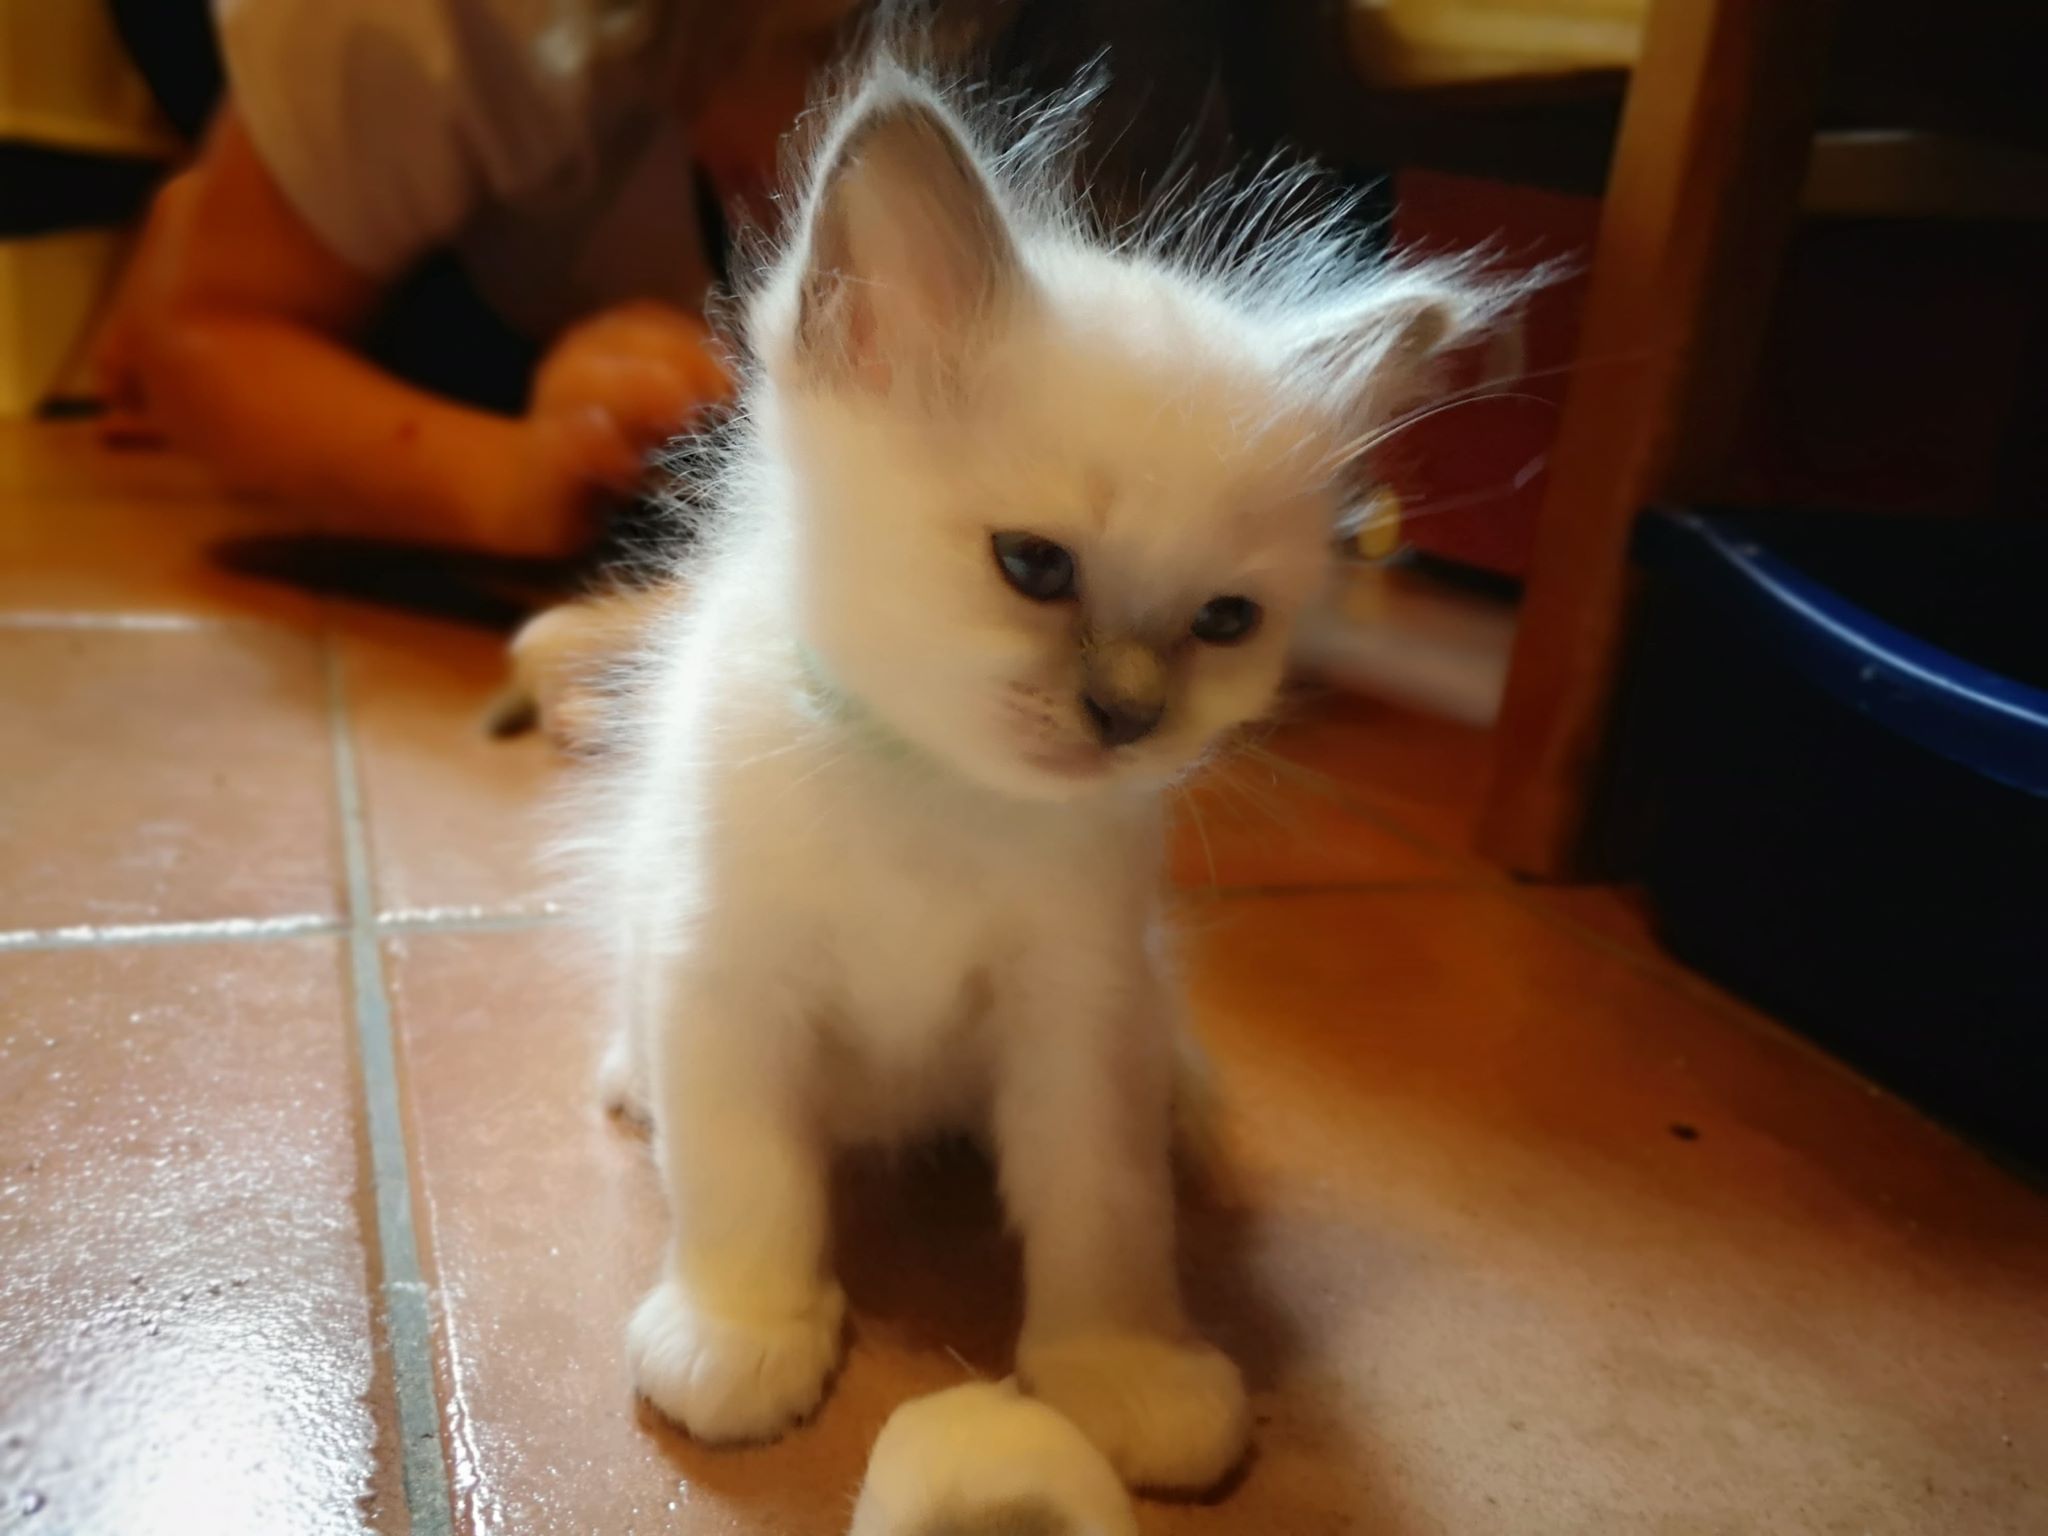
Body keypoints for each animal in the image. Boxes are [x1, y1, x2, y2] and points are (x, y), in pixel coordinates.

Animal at [572, 50, 1507, 1498]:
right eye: (1033, 567)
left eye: (1223, 622)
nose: (1128, 714)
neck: (935, 790)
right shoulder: (724, 972)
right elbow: (747, 1181)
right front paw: (742, 1338)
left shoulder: (1079, 1007)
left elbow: (1106, 1215)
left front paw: (1126, 1377)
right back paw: (631, 1086)